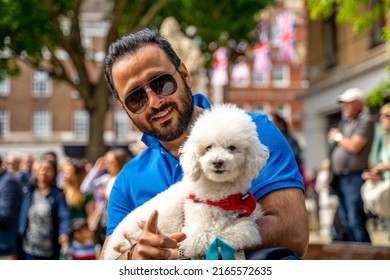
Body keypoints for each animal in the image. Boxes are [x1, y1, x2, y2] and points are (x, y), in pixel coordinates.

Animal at [103, 104, 268, 260]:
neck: (221, 194)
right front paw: (248, 230)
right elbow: (237, 231)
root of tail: (107, 252)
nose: (217, 162)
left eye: (232, 147)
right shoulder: (196, 234)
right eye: (208, 148)